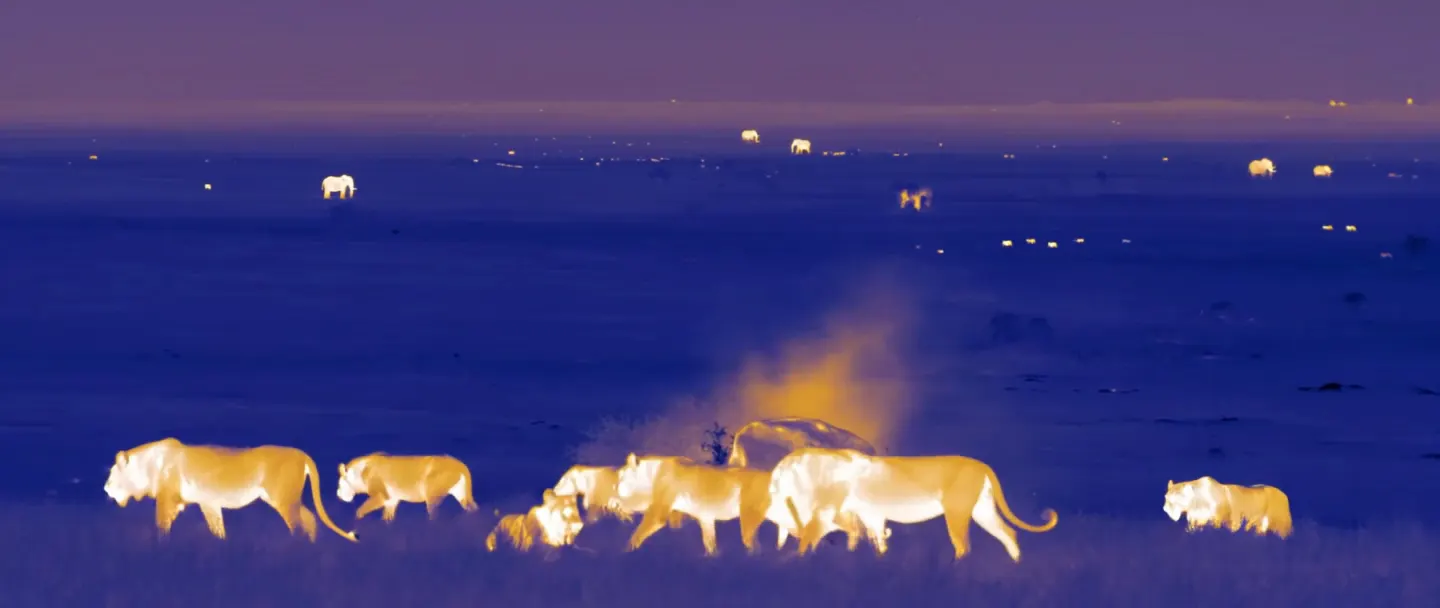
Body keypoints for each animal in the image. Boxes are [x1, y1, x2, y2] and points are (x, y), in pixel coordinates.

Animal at [103, 437, 357, 542]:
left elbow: (161, 526)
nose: (105, 488)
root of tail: (302, 454)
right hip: (288, 499)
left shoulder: (167, 501)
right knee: (310, 519)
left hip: (284, 501)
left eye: (112, 473)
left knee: (299, 525)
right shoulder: (209, 503)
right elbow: (217, 529)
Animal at [336, 452, 479, 522]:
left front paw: (357, 519)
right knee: (472, 509)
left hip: (431, 495)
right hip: (461, 495)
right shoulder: (391, 501)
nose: (338, 494)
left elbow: (361, 510)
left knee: (435, 515)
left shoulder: (382, 496)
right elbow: (387, 517)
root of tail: (461, 465)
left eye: (339, 484)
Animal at [775, 448, 1058, 562]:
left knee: (963, 545)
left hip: (956, 511)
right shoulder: (871, 513)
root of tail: (982, 465)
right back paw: (1016, 566)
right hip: (982, 510)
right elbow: (874, 540)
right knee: (1008, 533)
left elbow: (816, 535)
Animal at [1164, 477, 1293, 538]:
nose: (1166, 508)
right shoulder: (1196, 520)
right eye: (1166, 497)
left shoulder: (1222, 520)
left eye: (1176, 498)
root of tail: (1284, 494)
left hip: (1282, 524)